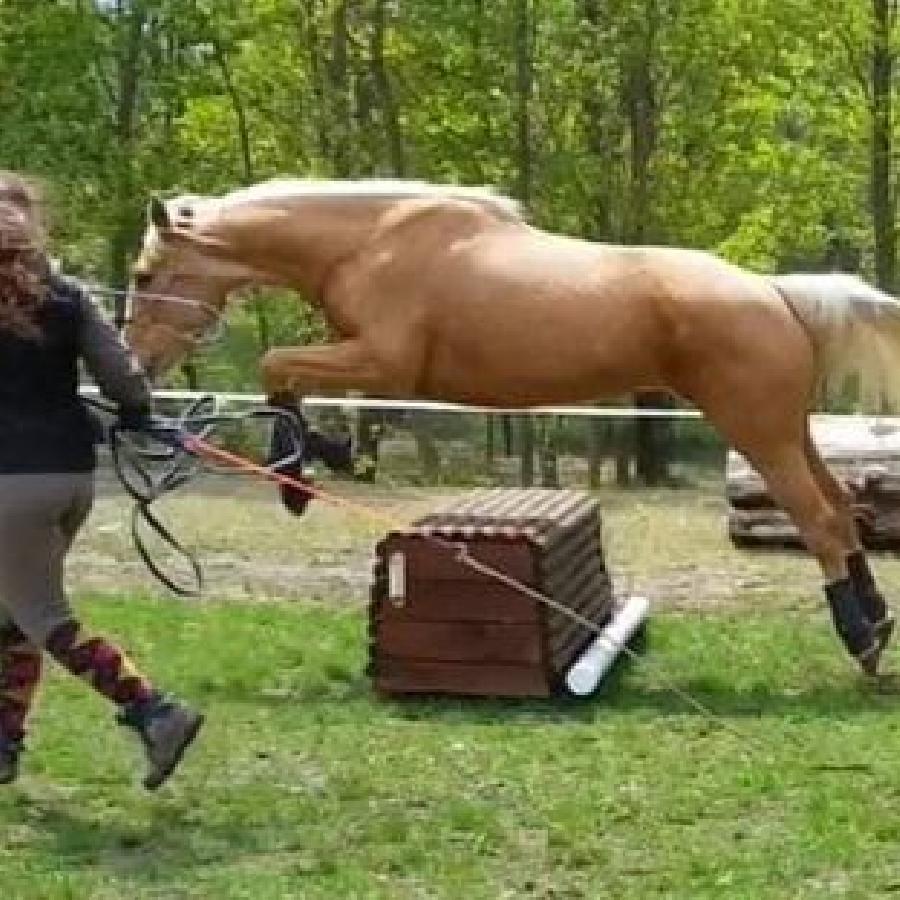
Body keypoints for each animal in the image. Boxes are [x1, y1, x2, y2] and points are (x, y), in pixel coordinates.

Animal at [125, 178, 900, 676]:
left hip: (757, 432)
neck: (372, 241)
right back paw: (878, 620)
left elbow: (275, 364)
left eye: (143, 274)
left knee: (818, 521)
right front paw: (324, 457)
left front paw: (301, 476)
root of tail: (774, 292)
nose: (136, 361)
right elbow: (282, 378)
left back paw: (859, 641)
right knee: (840, 509)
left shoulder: (382, 360)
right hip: (789, 432)